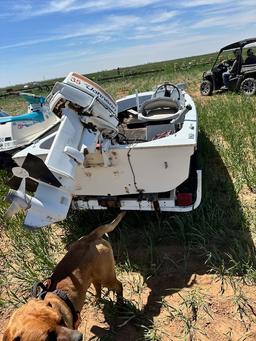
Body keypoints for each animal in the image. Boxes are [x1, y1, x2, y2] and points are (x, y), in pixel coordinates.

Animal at [2, 212, 125, 340]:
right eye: (48, 338)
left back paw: (120, 306)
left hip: (106, 277)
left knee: (118, 285)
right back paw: (97, 300)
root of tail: (91, 236)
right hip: (95, 275)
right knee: (97, 286)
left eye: (61, 320)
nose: (79, 337)